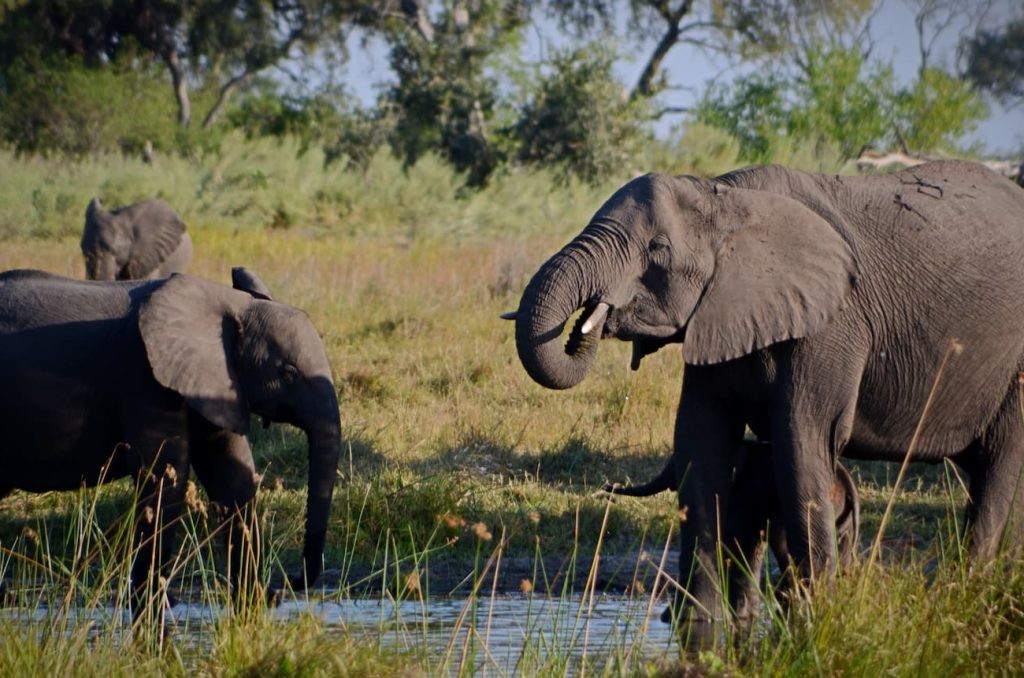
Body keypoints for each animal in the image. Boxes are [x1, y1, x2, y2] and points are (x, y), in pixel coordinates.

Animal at [0, 267, 340, 613]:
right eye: (288, 373)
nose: (291, 582)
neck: (228, 304)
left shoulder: (215, 382)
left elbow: (233, 478)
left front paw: (257, 602)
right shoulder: (146, 380)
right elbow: (165, 480)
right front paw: (154, 606)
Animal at [605, 440, 860, 620]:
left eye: (676, 466)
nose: (608, 487)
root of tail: (849, 486)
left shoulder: (742, 493)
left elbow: (737, 536)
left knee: (782, 543)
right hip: (842, 520)